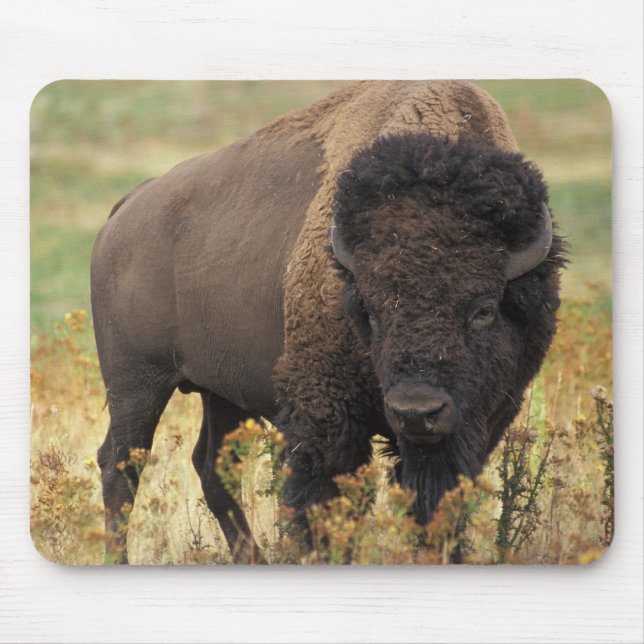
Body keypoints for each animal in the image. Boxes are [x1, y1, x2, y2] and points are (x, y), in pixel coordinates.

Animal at [91, 81, 565, 563]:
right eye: (370, 310)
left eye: (484, 309)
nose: (416, 411)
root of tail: (125, 209)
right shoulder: (326, 417)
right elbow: (325, 504)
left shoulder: (479, 422)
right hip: (136, 383)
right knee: (120, 464)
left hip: (220, 393)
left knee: (211, 466)